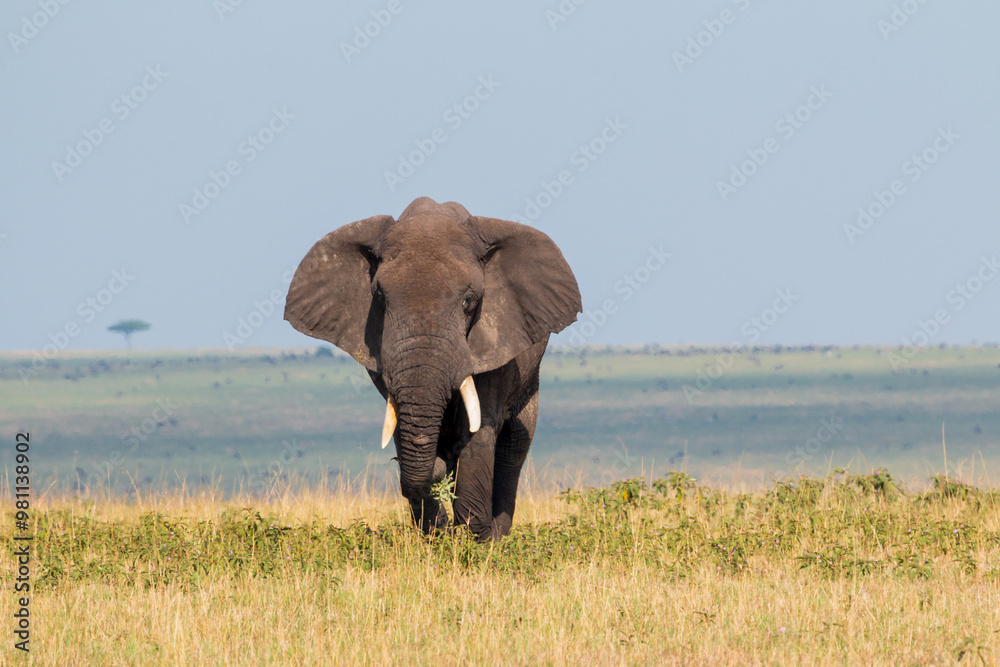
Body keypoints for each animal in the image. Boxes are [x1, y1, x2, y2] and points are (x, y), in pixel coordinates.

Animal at [284, 197, 581, 541]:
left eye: (468, 301)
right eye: (379, 297)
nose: (436, 469)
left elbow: (479, 427)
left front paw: (475, 540)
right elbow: (401, 419)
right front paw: (437, 533)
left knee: (515, 443)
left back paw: (497, 533)